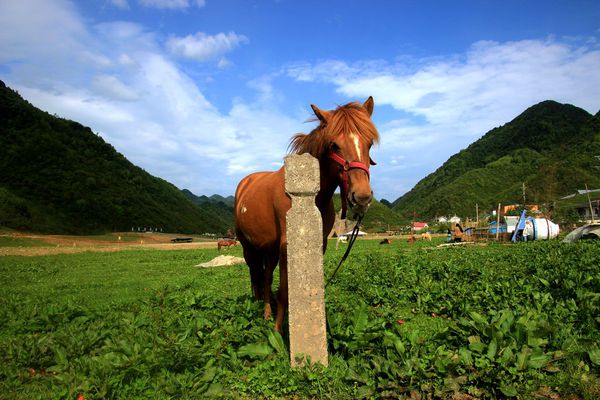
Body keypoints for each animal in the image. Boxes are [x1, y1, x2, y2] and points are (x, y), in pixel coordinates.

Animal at [234, 97, 380, 332]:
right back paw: (265, 313)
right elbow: (285, 291)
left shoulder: (318, 244)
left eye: (369, 144)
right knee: (257, 275)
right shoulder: (287, 245)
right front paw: (278, 331)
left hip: (269, 250)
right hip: (249, 248)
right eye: (334, 145)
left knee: (266, 277)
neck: (308, 195)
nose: (362, 197)